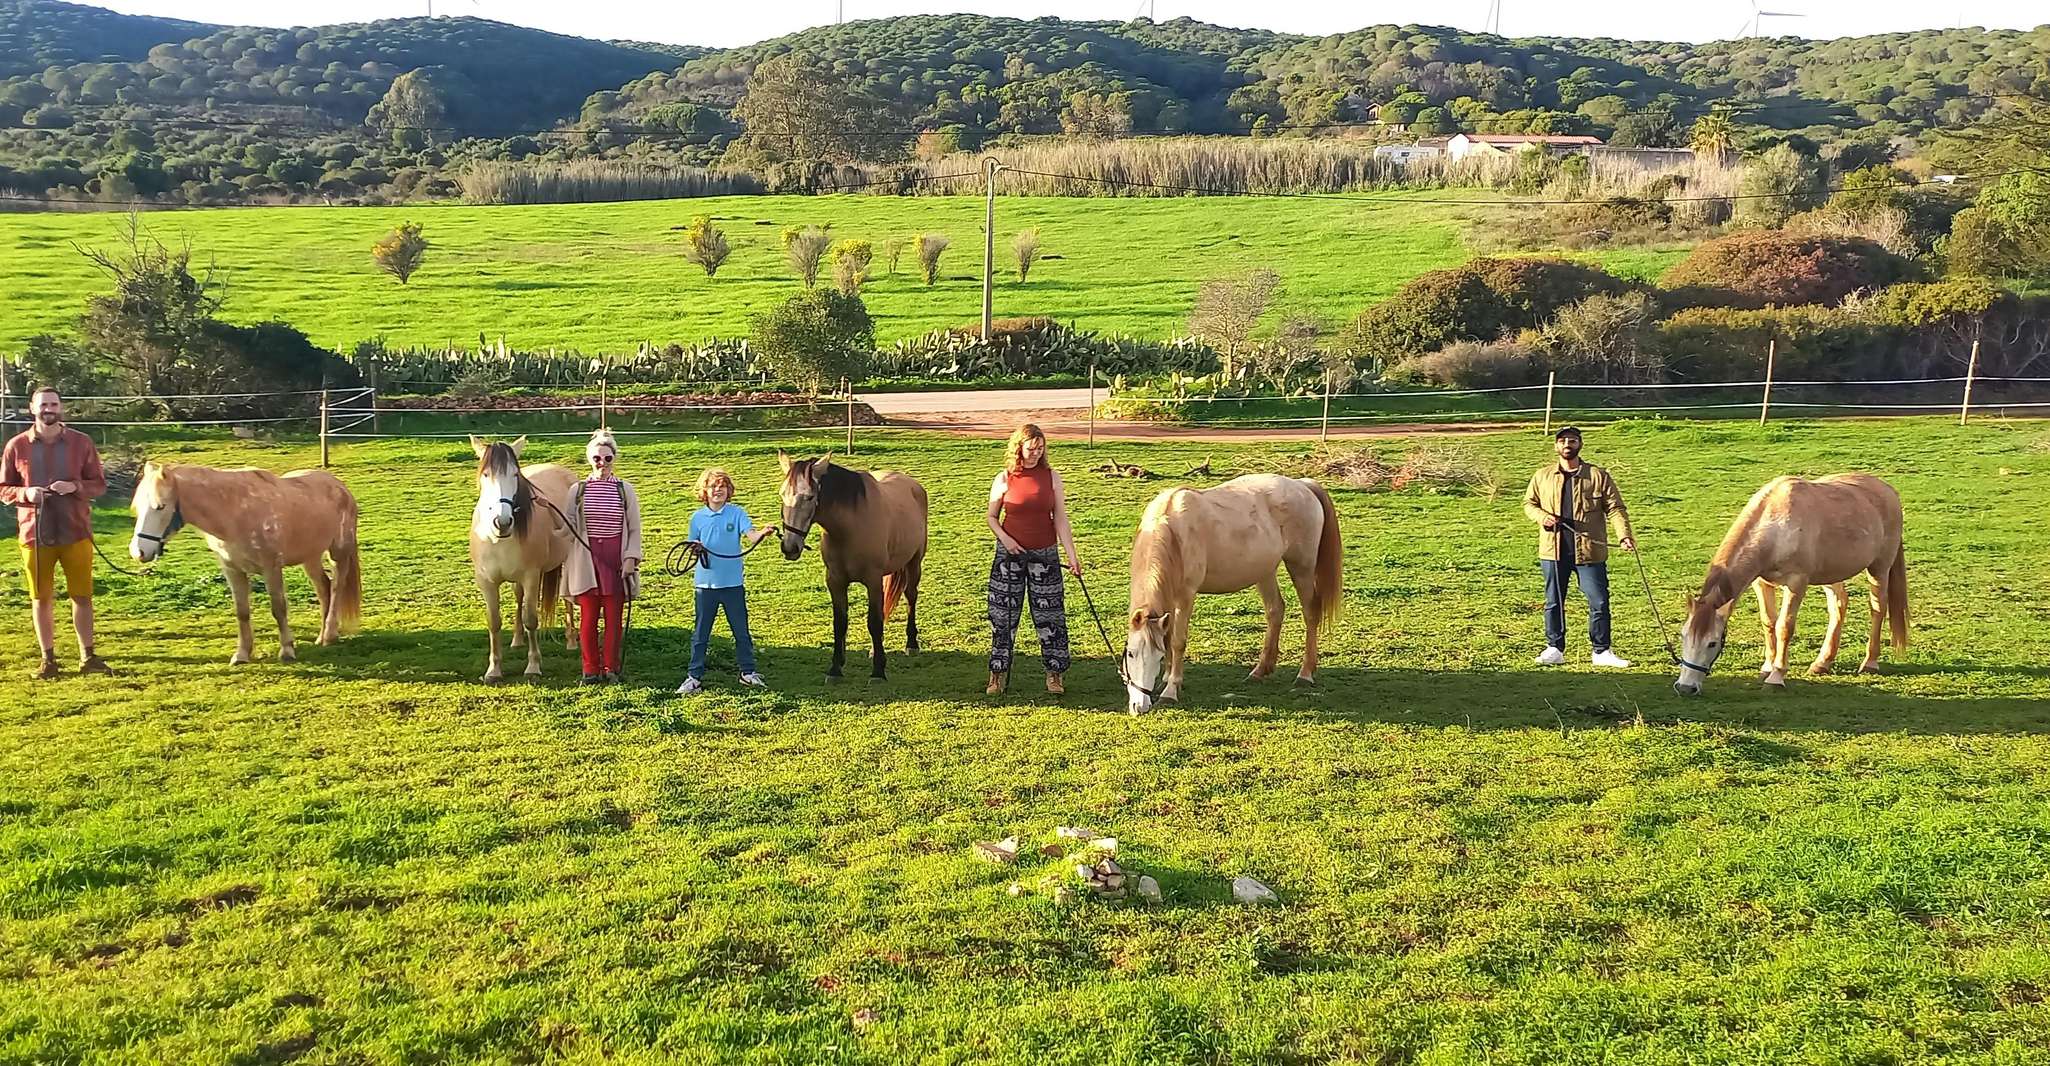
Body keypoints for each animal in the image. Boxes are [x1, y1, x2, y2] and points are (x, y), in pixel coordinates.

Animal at [128, 462, 362, 663]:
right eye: (137, 507)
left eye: (160, 507)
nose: (138, 552)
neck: (234, 513)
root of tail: (340, 487)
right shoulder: (232, 570)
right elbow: (242, 612)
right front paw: (241, 654)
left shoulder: (271, 568)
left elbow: (279, 609)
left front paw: (287, 650)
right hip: (310, 557)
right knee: (324, 588)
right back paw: (321, 636)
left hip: (338, 553)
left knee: (336, 587)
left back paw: (329, 634)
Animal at [469, 436, 579, 682]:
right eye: (485, 474)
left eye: (515, 475)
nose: (502, 522)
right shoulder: (486, 582)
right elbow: (494, 622)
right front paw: (493, 670)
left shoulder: (531, 577)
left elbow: (531, 619)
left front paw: (533, 666)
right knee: (518, 598)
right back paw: (517, 640)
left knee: (567, 598)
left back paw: (571, 640)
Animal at [777, 452, 927, 679]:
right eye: (782, 495)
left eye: (809, 497)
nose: (790, 547)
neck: (849, 528)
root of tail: (912, 484)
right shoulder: (835, 581)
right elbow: (840, 623)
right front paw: (835, 668)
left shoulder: (872, 581)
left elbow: (873, 622)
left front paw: (878, 672)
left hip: (914, 562)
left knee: (911, 596)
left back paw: (911, 644)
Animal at [1124, 474, 1344, 714]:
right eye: (1130, 653)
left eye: (1157, 657)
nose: (1140, 706)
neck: (1172, 530)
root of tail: (1302, 485)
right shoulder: (1170, 598)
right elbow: (1169, 635)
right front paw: (1168, 678)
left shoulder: (1186, 596)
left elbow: (1177, 641)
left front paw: (1170, 691)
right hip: (1264, 572)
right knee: (1275, 610)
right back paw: (1260, 670)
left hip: (1301, 567)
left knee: (1310, 613)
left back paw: (1305, 674)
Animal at [1674, 474, 1908, 695]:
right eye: (1683, 635)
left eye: (1712, 643)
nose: (1686, 687)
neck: (1776, 526)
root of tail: (1888, 490)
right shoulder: (1761, 583)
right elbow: (1768, 622)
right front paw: (1767, 667)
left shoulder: (1796, 582)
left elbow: (1784, 626)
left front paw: (1777, 676)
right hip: (1831, 575)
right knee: (1839, 606)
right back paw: (1822, 663)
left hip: (1879, 568)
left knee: (1878, 608)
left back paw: (1870, 662)